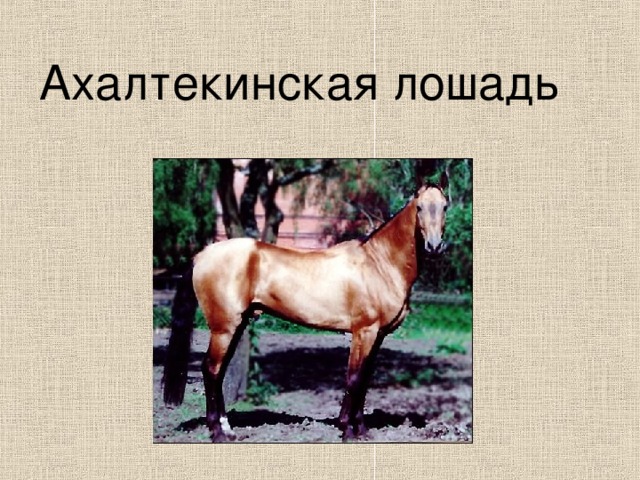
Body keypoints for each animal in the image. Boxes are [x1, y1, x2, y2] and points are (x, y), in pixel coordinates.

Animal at [162, 173, 450, 442]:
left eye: (445, 206)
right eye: (420, 207)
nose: (434, 246)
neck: (379, 263)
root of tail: (202, 255)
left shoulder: (378, 336)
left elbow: (365, 380)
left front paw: (361, 430)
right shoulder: (363, 332)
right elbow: (354, 378)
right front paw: (347, 430)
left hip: (236, 324)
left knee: (218, 372)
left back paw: (227, 429)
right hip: (223, 328)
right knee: (210, 370)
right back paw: (218, 433)